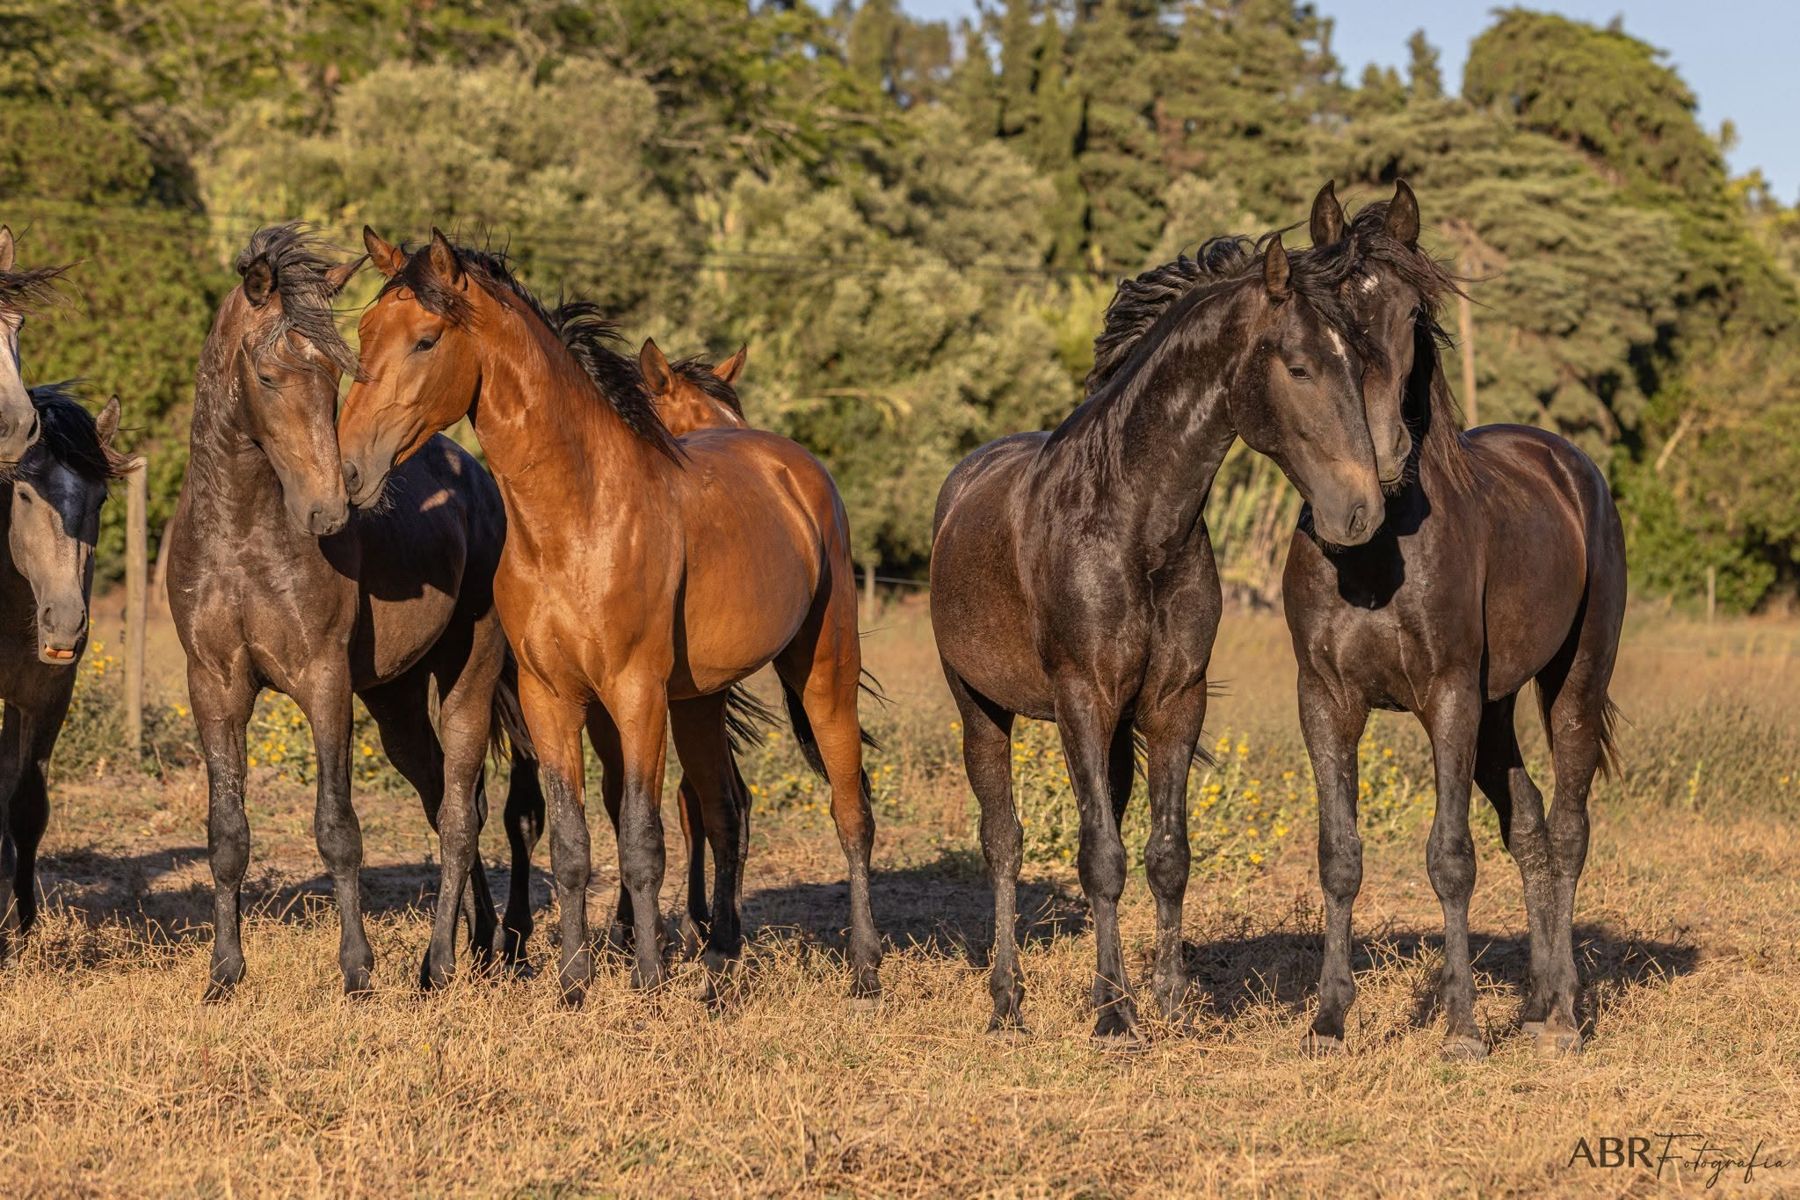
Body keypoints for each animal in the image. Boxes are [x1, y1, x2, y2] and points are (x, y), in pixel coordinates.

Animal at [166, 225, 543, 998]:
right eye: (268, 376)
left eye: (333, 375)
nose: (329, 509)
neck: (241, 538)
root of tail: (481, 481)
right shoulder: (213, 685)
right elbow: (227, 834)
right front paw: (224, 974)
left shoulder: (324, 682)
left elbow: (337, 829)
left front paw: (358, 971)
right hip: (395, 702)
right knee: (448, 800)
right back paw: (479, 944)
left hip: (469, 679)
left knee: (461, 814)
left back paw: (447, 963)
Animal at [337, 229, 881, 1007]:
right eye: (363, 333)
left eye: (425, 339)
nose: (350, 468)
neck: (578, 519)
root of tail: (796, 470)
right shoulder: (551, 698)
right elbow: (572, 843)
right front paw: (573, 983)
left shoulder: (634, 694)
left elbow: (641, 838)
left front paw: (647, 980)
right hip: (700, 699)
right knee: (724, 807)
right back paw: (718, 962)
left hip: (823, 672)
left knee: (850, 810)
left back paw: (864, 969)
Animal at [931, 219, 1395, 1043]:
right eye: (1301, 367)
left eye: (1360, 363)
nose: (1361, 513)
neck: (1130, 521)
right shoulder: (1081, 700)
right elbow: (1100, 858)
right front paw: (1114, 1013)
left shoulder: (1176, 700)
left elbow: (1165, 853)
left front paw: (1170, 998)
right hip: (980, 709)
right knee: (1004, 845)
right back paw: (1007, 1003)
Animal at [1283, 191, 1626, 1059]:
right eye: (1324, 321)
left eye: (1412, 313)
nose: (1376, 461)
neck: (1375, 554)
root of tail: (1569, 465)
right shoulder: (1325, 701)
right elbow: (1340, 856)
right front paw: (1329, 1020)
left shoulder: (1446, 698)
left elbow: (1451, 858)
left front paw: (1463, 1029)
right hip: (1496, 708)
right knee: (1531, 827)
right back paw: (1537, 1005)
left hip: (1569, 684)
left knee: (1567, 830)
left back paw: (1564, 1018)